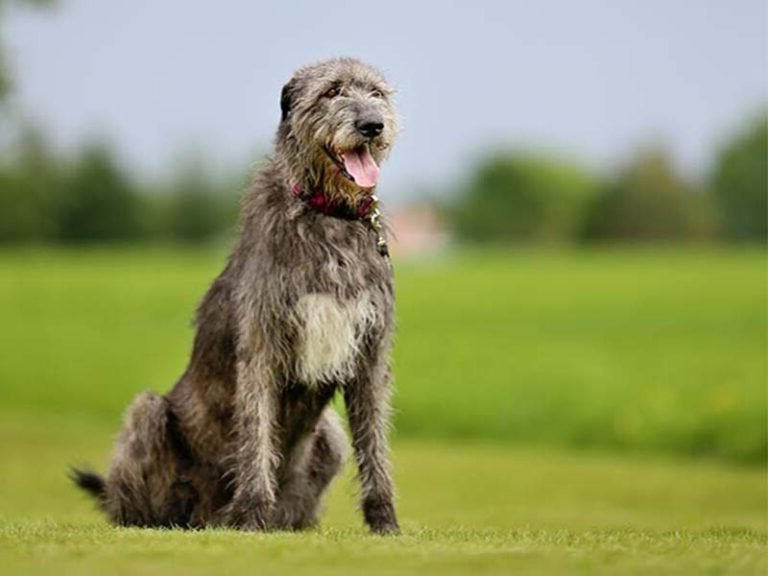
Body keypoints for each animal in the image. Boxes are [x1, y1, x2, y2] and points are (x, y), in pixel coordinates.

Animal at [73, 58, 402, 536]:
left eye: (376, 93)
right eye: (332, 91)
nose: (372, 125)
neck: (327, 214)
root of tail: (205, 516)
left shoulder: (370, 353)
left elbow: (374, 445)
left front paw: (385, 524)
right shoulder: (262, 346)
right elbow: (256, 435)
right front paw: (251, 516)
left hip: (330, 438)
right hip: (148, 414)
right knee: (138, 493)